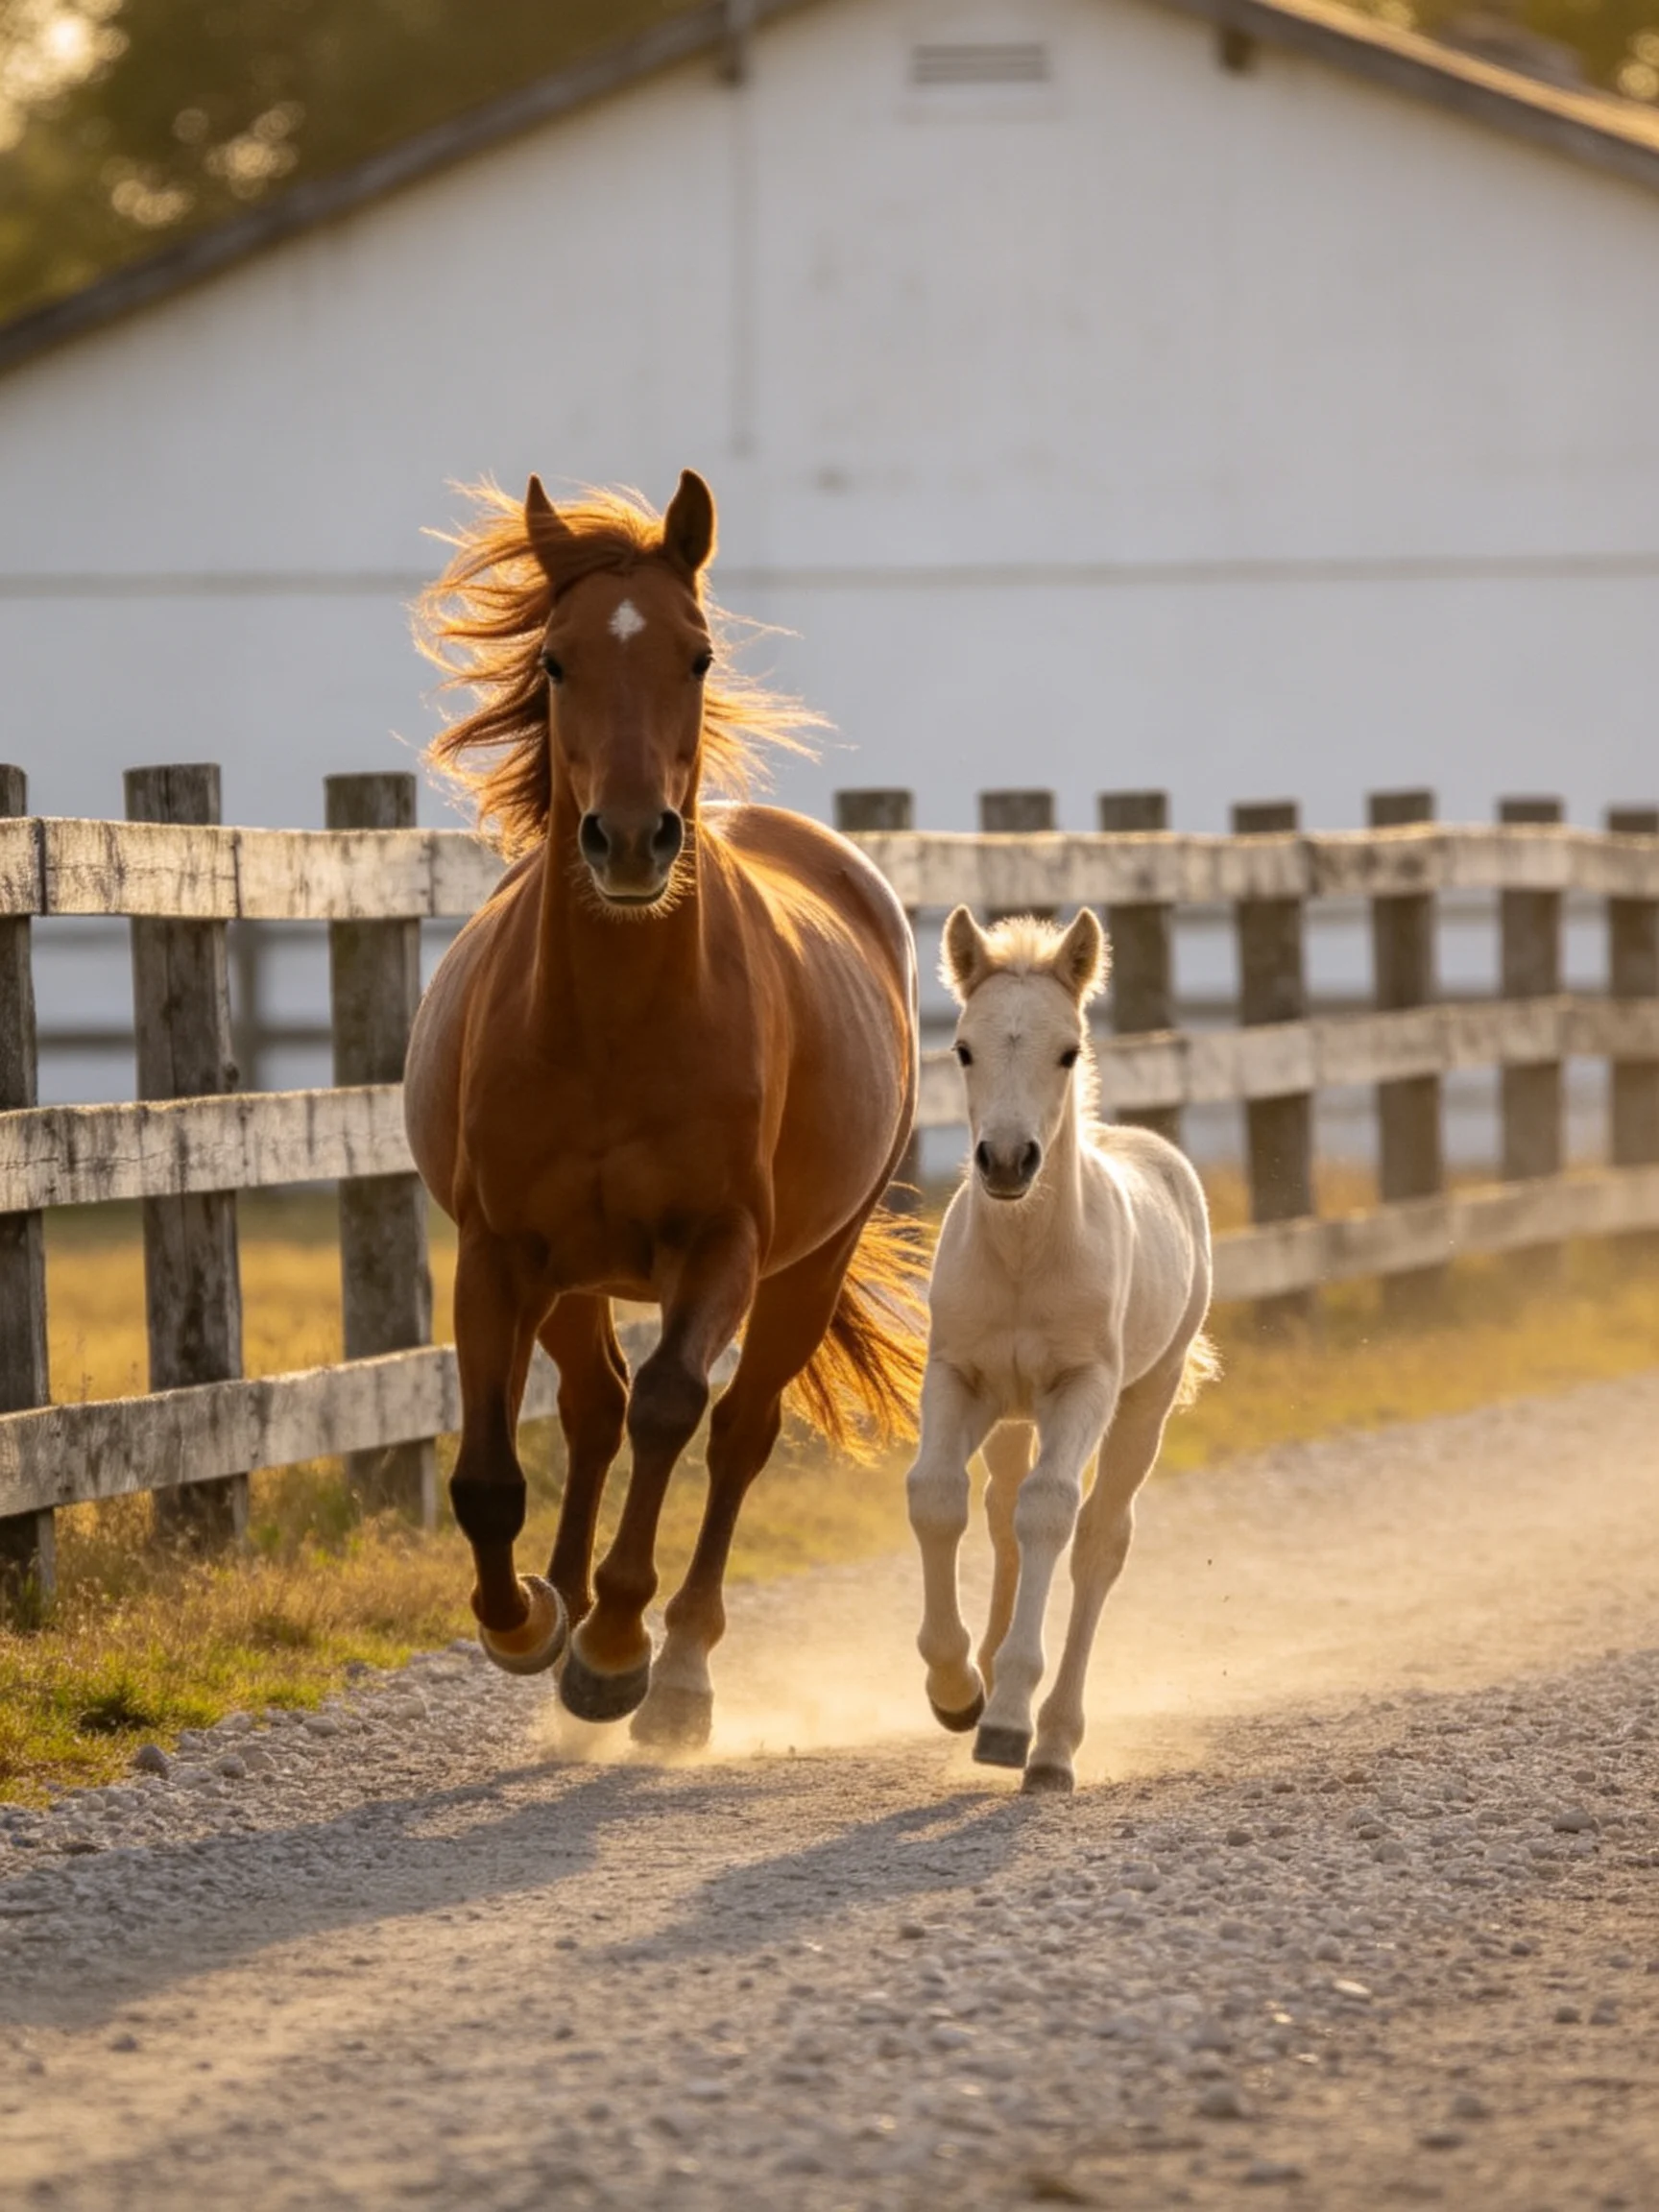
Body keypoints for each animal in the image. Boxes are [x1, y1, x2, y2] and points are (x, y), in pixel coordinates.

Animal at [403, 469, 924, 1748]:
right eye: (554, 661)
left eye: (697, 655)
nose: (634, 841)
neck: (611, 1030)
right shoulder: (499, 1249)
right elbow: (488, 1470)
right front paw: (528, 1621)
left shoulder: (721, 1245)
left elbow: (677, 1409)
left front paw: (615, 1647)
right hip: (575, 1275)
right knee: (593, 1407)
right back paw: (563, 1609)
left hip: (810, 1266)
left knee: (737, 1431)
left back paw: (679, 1667)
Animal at [904, 904, 1217, 1793]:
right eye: (963, 1048)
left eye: (1068, 1051)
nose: (1008, 1160)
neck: (1022, 1257)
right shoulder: (958, 1375)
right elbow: (935, 1495)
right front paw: (955, 1688)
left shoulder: (1084, 1388)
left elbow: (1052, 1512)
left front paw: (1007, 1718)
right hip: (1013, 1414)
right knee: (1000, 1511)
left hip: (1143, 1400)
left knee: (1098, 1542)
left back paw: (1053, 1744)